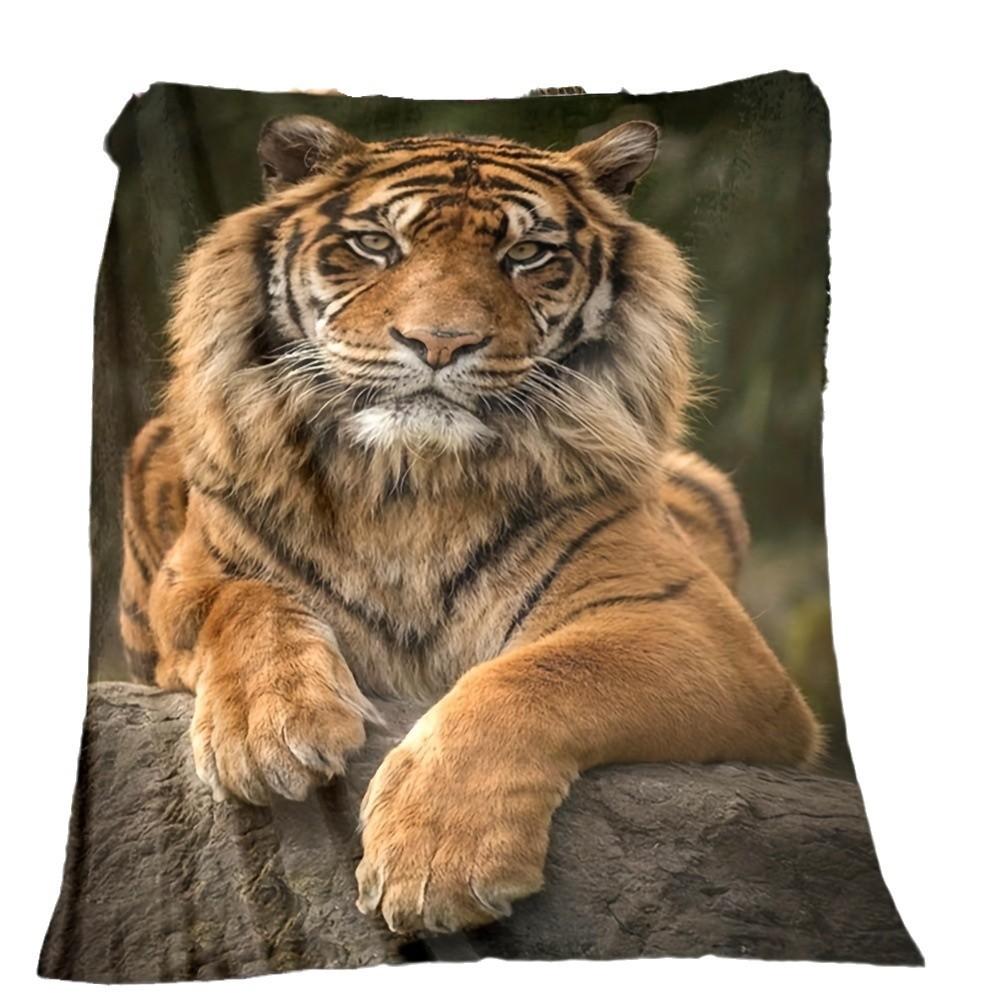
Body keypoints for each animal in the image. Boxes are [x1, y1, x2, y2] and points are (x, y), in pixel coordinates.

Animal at [118, 113, 821, 935]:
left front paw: (436, 860)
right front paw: (268, 731)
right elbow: (241, 600)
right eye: (376, 244)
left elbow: (540, 674)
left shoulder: (698, 626)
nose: (440, 343)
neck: (408, 483)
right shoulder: (188, 578)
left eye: (527, 255)